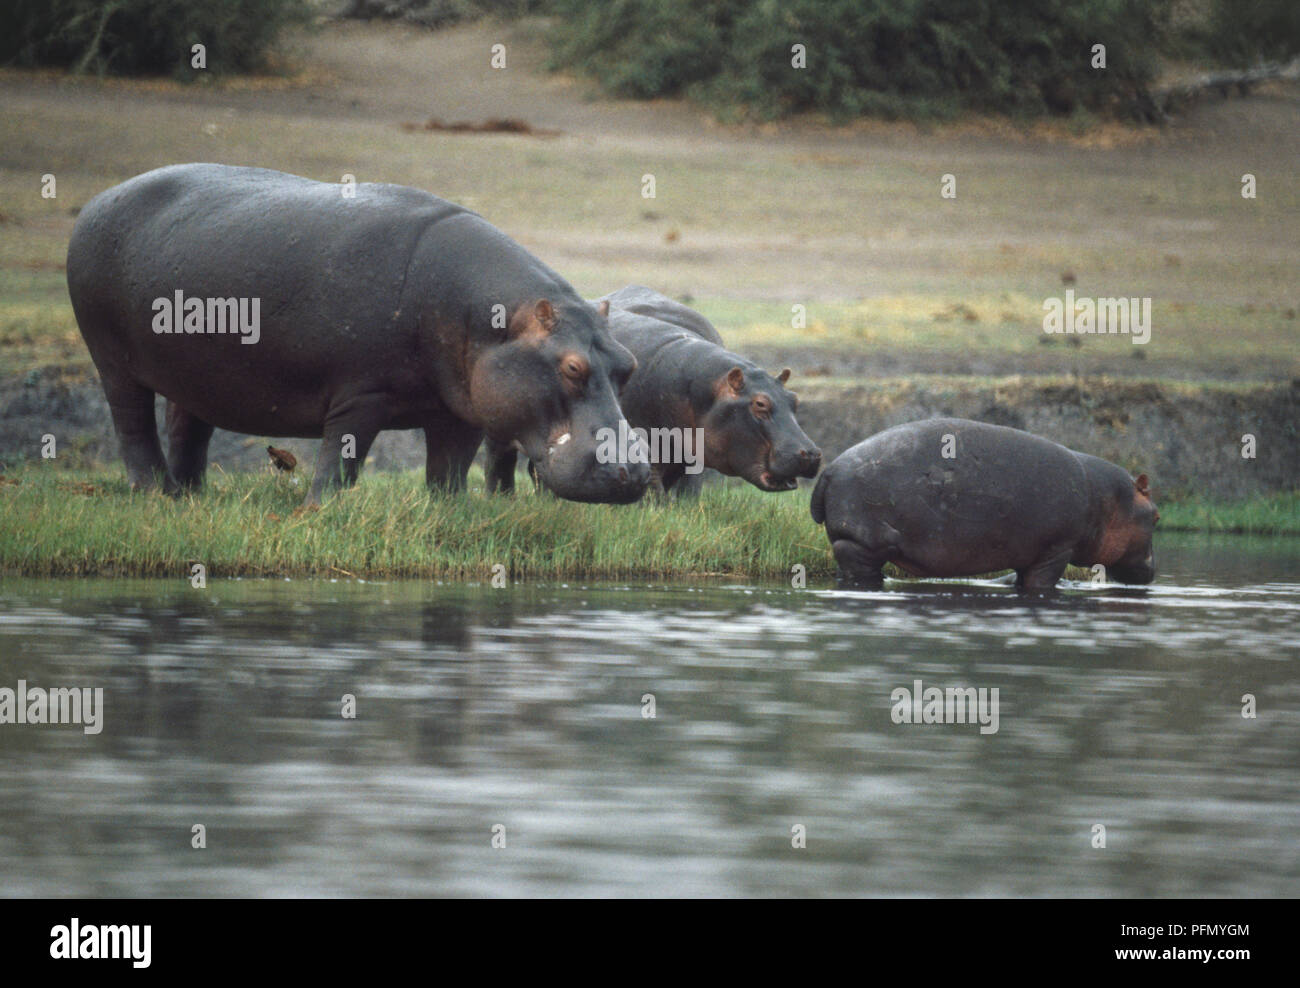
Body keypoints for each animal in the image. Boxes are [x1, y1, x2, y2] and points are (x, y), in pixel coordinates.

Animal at [65, 163, 650, 504]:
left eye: (628, 366)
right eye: (571, 367)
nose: (636, 473)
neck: (489, 318)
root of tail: (99, 199)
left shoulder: (461, 407)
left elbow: (449, 469)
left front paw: (450, 512)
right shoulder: (361, 395)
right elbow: (340, 459)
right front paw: (318, 510)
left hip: (194, 375)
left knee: (188, 426)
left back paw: (193, 495)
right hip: (111, 361)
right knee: (133, 426)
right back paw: (157, 494)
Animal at [485, 285, 821, 496]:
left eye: (795, 400)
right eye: (760, 404)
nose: (812, 453)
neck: (703, 388)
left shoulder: (694, 455)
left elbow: (687, 498)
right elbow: (655, 499)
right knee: (499, 465)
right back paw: (501, 499)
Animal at [810, 418, 1158, 590]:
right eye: (1156, 517)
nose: (1154, 568)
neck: (1108, 500)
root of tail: (830, 469)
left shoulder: (1028, 554)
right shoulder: (1056, 550)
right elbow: (1041, 584)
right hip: (863, 544)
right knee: (859, 569)